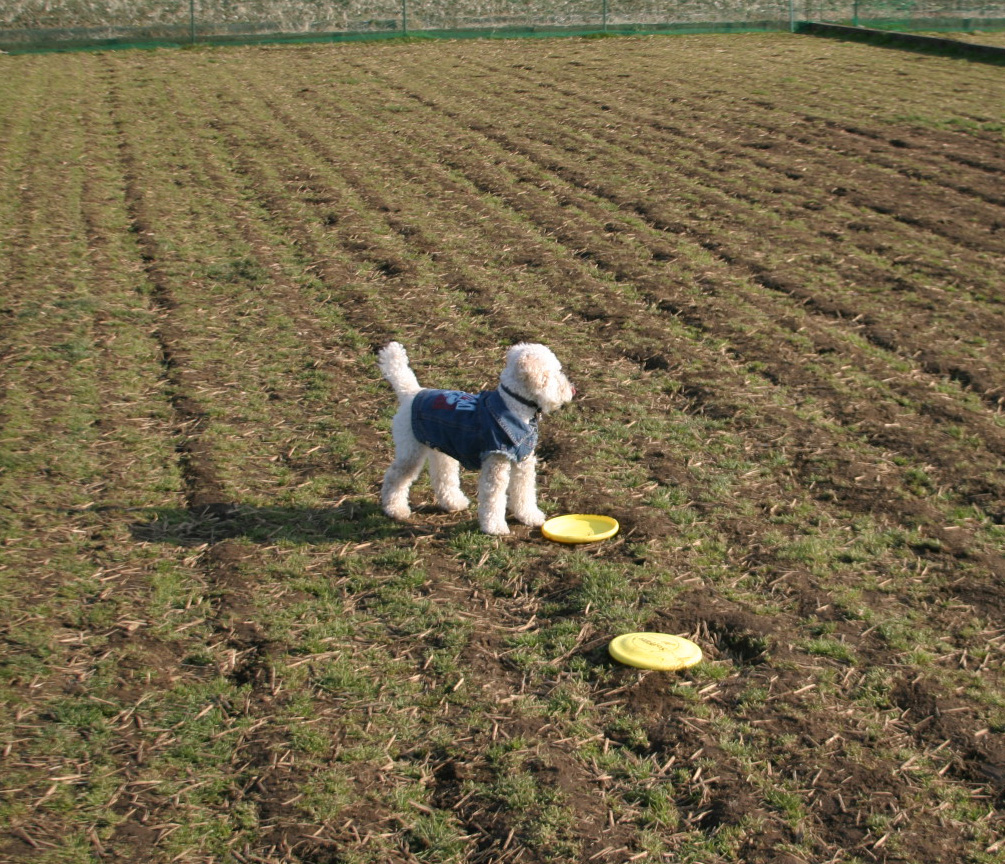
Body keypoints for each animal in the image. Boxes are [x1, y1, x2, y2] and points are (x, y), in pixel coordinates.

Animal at [377, 341, 574, 535]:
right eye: (555, 371)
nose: (572, 390)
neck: (514, 407)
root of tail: (411, 393)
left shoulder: (523, 462)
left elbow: (524, 492)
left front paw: (530, 516)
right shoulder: (496, 462)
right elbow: (494, 498)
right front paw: (495, 527)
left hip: (441, 449)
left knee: (442, 477)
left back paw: (454, 503)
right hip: (411, 450)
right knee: (394, 477)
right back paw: (395, 509)